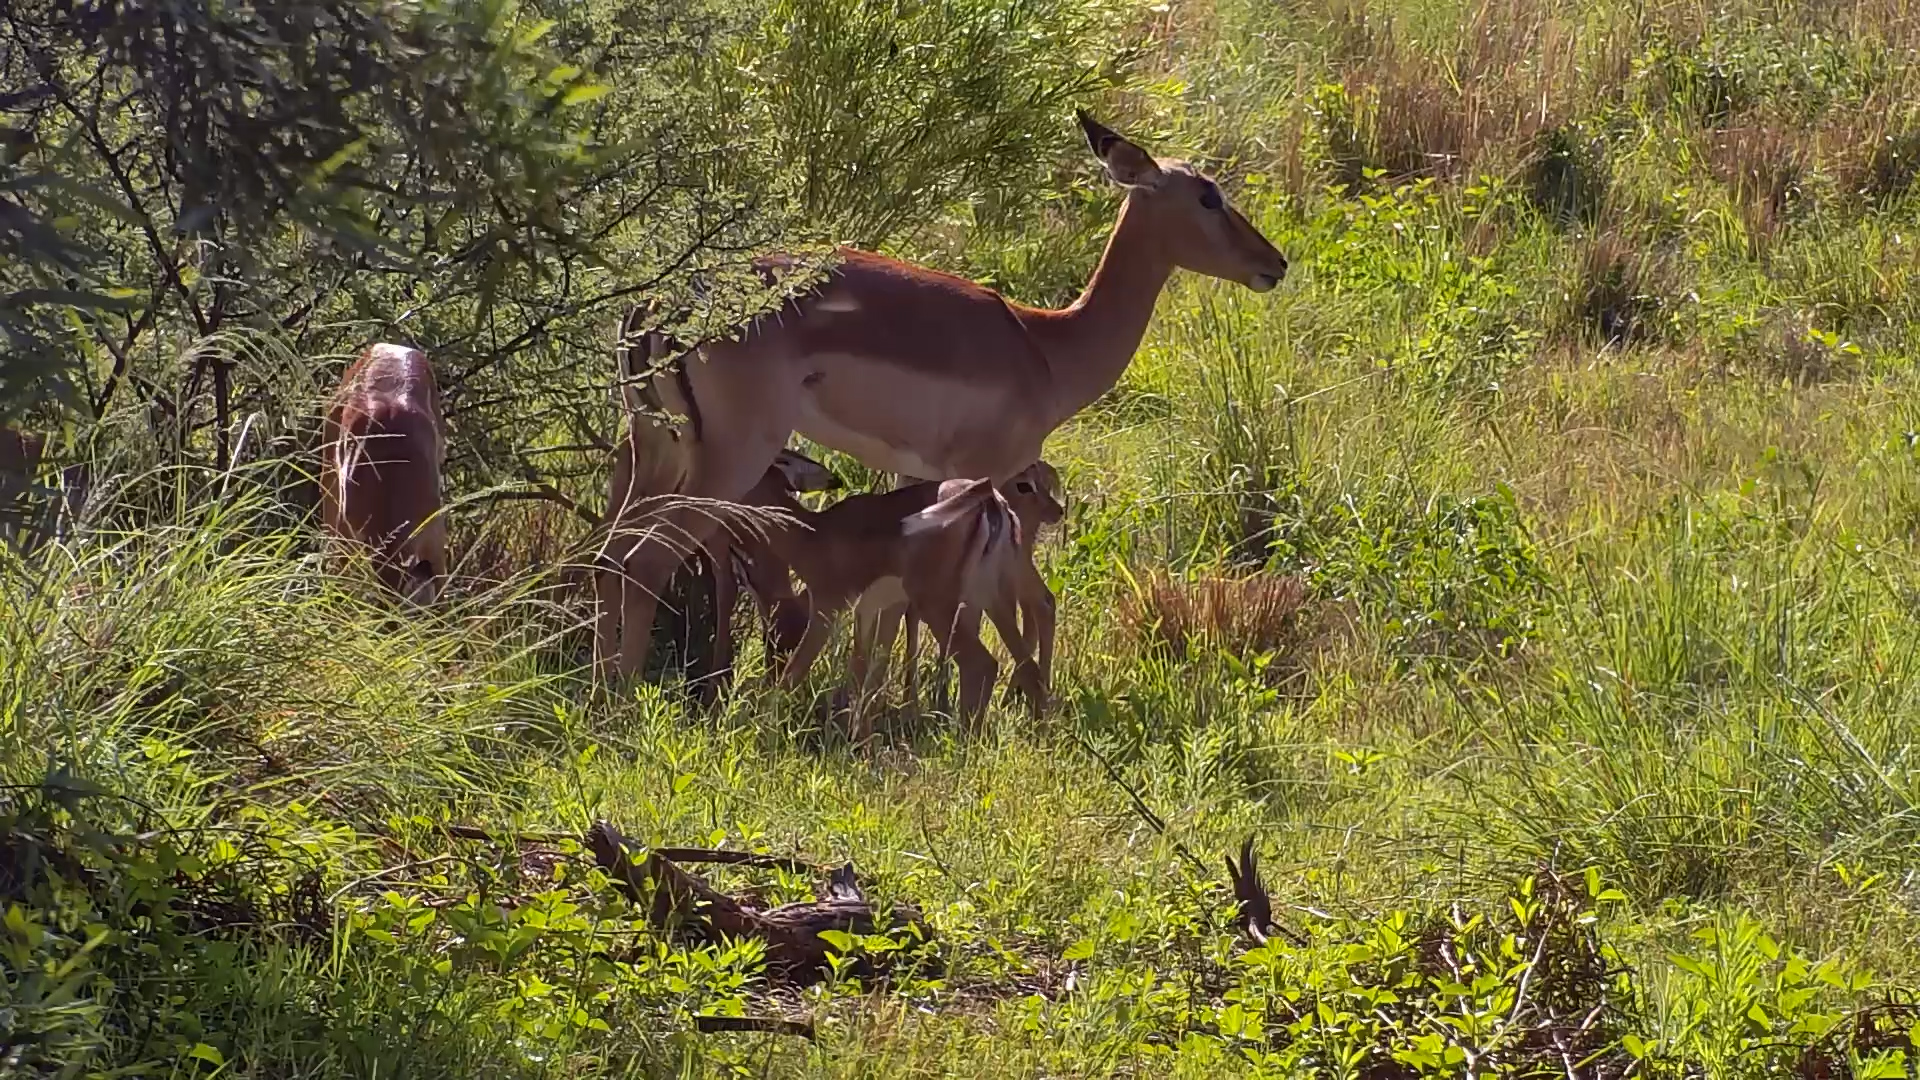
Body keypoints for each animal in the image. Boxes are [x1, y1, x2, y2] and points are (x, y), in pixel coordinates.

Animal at [597, 109, 1286, 680]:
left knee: (609, 557)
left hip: (652, 448)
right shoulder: (991, 479)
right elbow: (973, 610)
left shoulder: (927, 481)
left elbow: (898, 614)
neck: (1045, 345)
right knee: (645, 562)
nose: (1274, 262)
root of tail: (657, 306)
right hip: (729, 458)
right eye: (1209, 195)